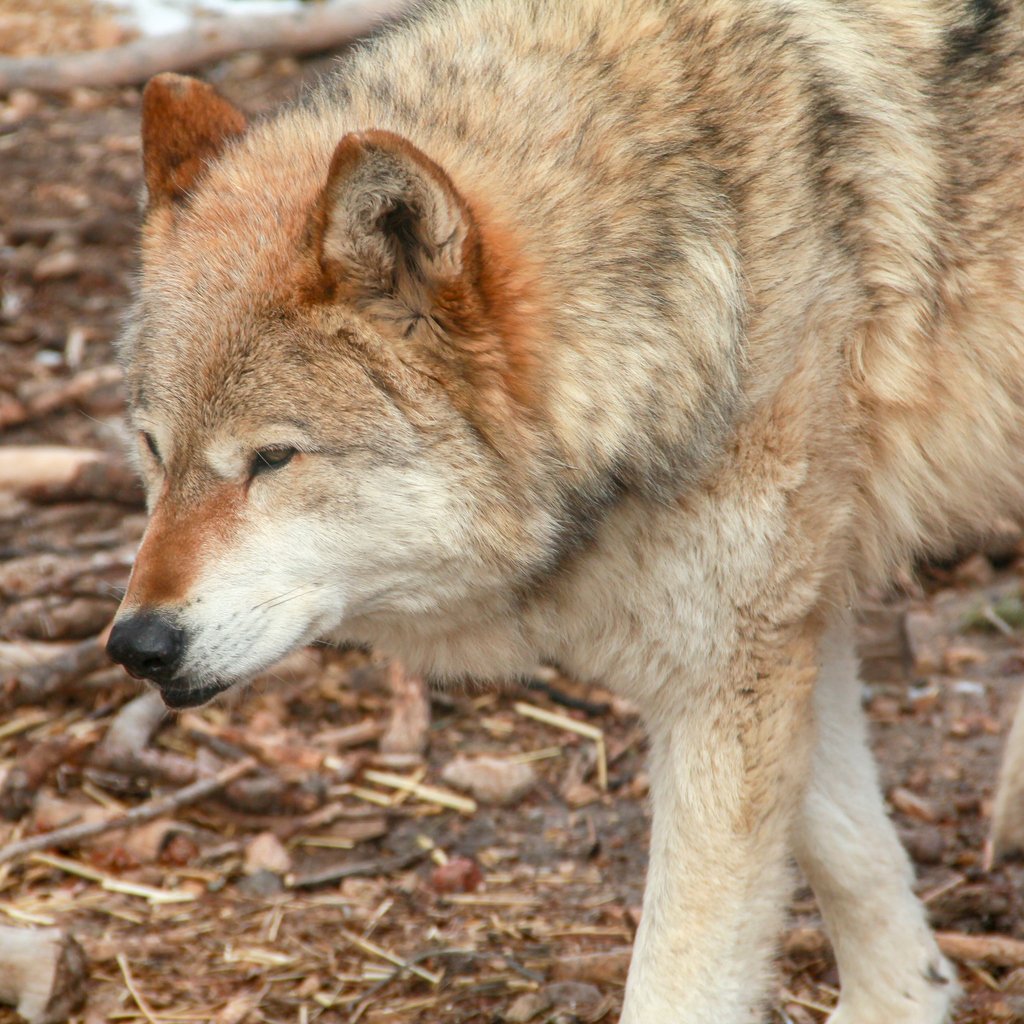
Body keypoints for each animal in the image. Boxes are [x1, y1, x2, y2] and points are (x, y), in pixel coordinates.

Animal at [105, 0, 1024, 1020]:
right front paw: (907, 993)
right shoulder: (777, 632)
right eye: (154, 450)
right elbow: (851, 860)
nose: (137, 645)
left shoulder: (730, 666)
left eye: (272, 459)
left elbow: (681, 980)